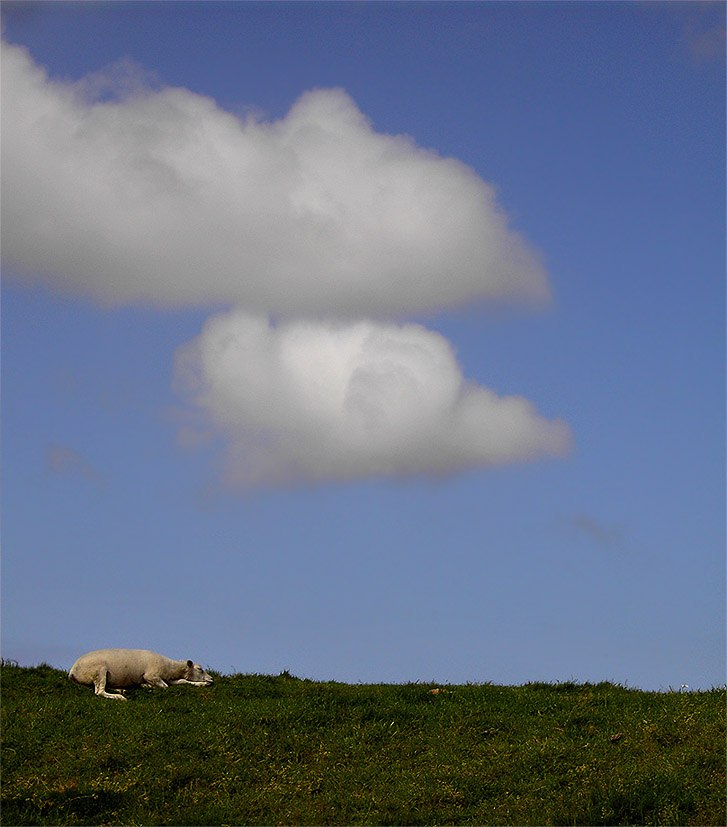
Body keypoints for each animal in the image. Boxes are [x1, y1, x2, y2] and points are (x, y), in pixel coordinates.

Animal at [68, 652, 213, 700]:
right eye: (200, 669)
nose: (212, 679)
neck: (170, 668)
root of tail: (72, 671)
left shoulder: (169, 678)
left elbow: (183, 681)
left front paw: (203, 684)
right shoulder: (151, 675)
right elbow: (165, 687)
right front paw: (146, 686)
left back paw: (123, 690)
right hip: (99, 671)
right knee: (99, 692)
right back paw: (120, 697)